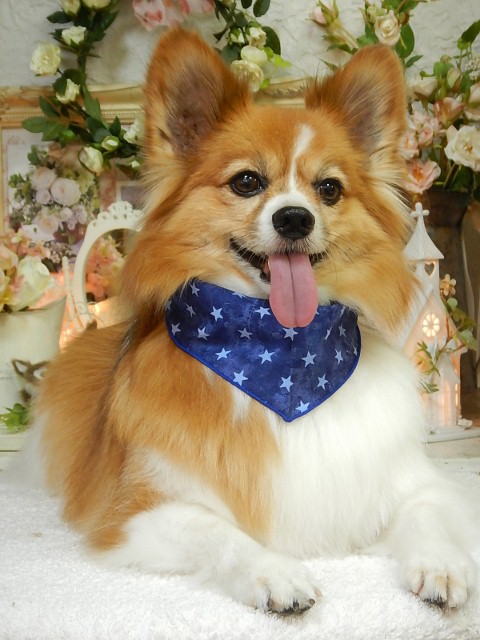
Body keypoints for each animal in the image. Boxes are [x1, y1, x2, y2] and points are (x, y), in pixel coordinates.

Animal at [31, 28, 476, 614]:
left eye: (329, 189)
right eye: (246, 181)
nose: (294, 218)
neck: (281, 353)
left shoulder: (412, 485)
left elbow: (427, 514)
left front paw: (440, 563)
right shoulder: (136, 511)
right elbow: (220, 533)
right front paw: (274, 571)